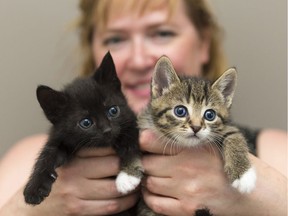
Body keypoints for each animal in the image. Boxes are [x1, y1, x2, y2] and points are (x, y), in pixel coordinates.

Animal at [24, 51, 143, 207]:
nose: (107, 130)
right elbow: (47, 154)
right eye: (86, 122)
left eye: (113, 111)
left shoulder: (132, 120)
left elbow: (131, 138)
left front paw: (128, 174)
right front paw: (34, 187)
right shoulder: (61, 138)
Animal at [137, 56, 256, 216]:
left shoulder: (227, 127)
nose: (196, 127)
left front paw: (244, 176)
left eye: (210, 115)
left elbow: (234, 134)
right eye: (180, 111)